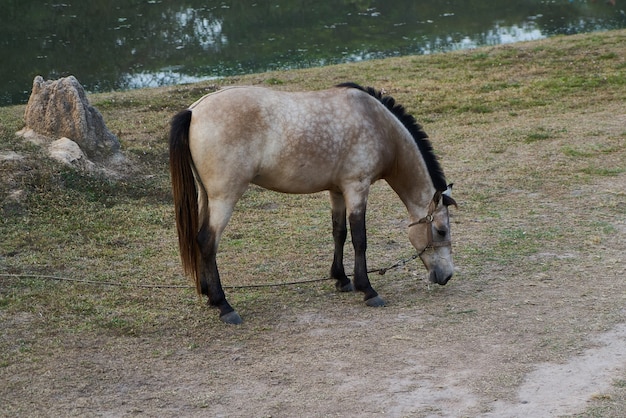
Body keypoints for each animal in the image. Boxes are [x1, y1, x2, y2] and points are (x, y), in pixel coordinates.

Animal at [168, 81, 456, 324]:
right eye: (441, 230)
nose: (447, 276)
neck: (377, 123)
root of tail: (194, 111)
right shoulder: (356, 188)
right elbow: (359, 239)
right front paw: (367, 289)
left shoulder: (338, 191)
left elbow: (339, 233)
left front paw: (342, 279)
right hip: (224, 198)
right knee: (207, 241)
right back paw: (224, 305)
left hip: (206, 196)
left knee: (198, 240)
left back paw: (208, 294)